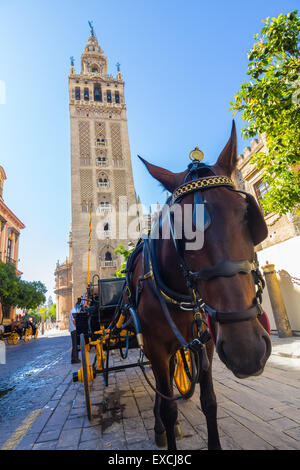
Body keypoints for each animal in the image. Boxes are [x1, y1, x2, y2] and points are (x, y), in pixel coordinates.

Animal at [125, 122, 270, 452]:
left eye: (248, 214)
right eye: (179, 230)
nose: (247, 351)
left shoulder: (206, 344)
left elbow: (209, 402)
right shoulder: (154, 346)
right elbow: (169, 407)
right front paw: (166, 427)